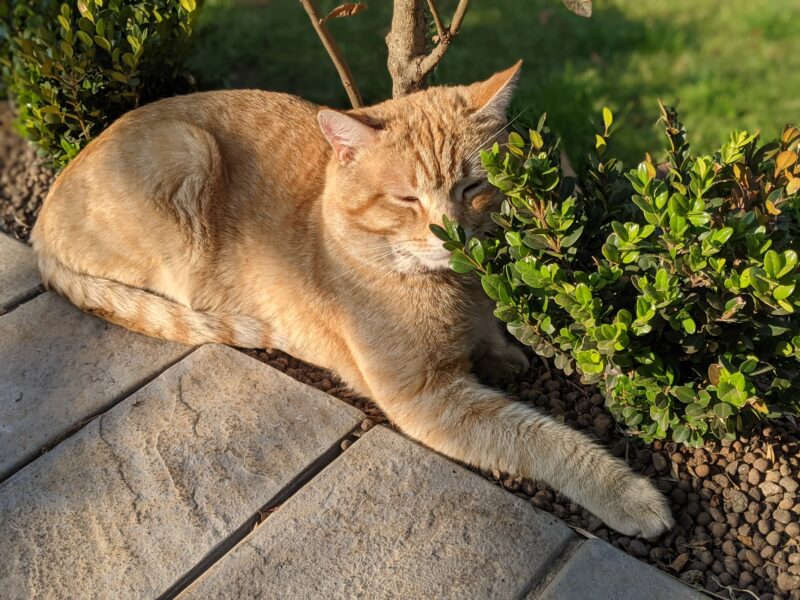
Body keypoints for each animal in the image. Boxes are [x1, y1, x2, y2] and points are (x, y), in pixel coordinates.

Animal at [31, 63, 676, 536]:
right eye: (406, 199)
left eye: (473, 186)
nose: (452, 234)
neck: (454, 291)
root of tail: (42, 214)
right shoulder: (427, 398)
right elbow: (543, 439)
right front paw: (632, 497)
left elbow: (500, 342)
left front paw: (503, 351)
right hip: (186, 156)